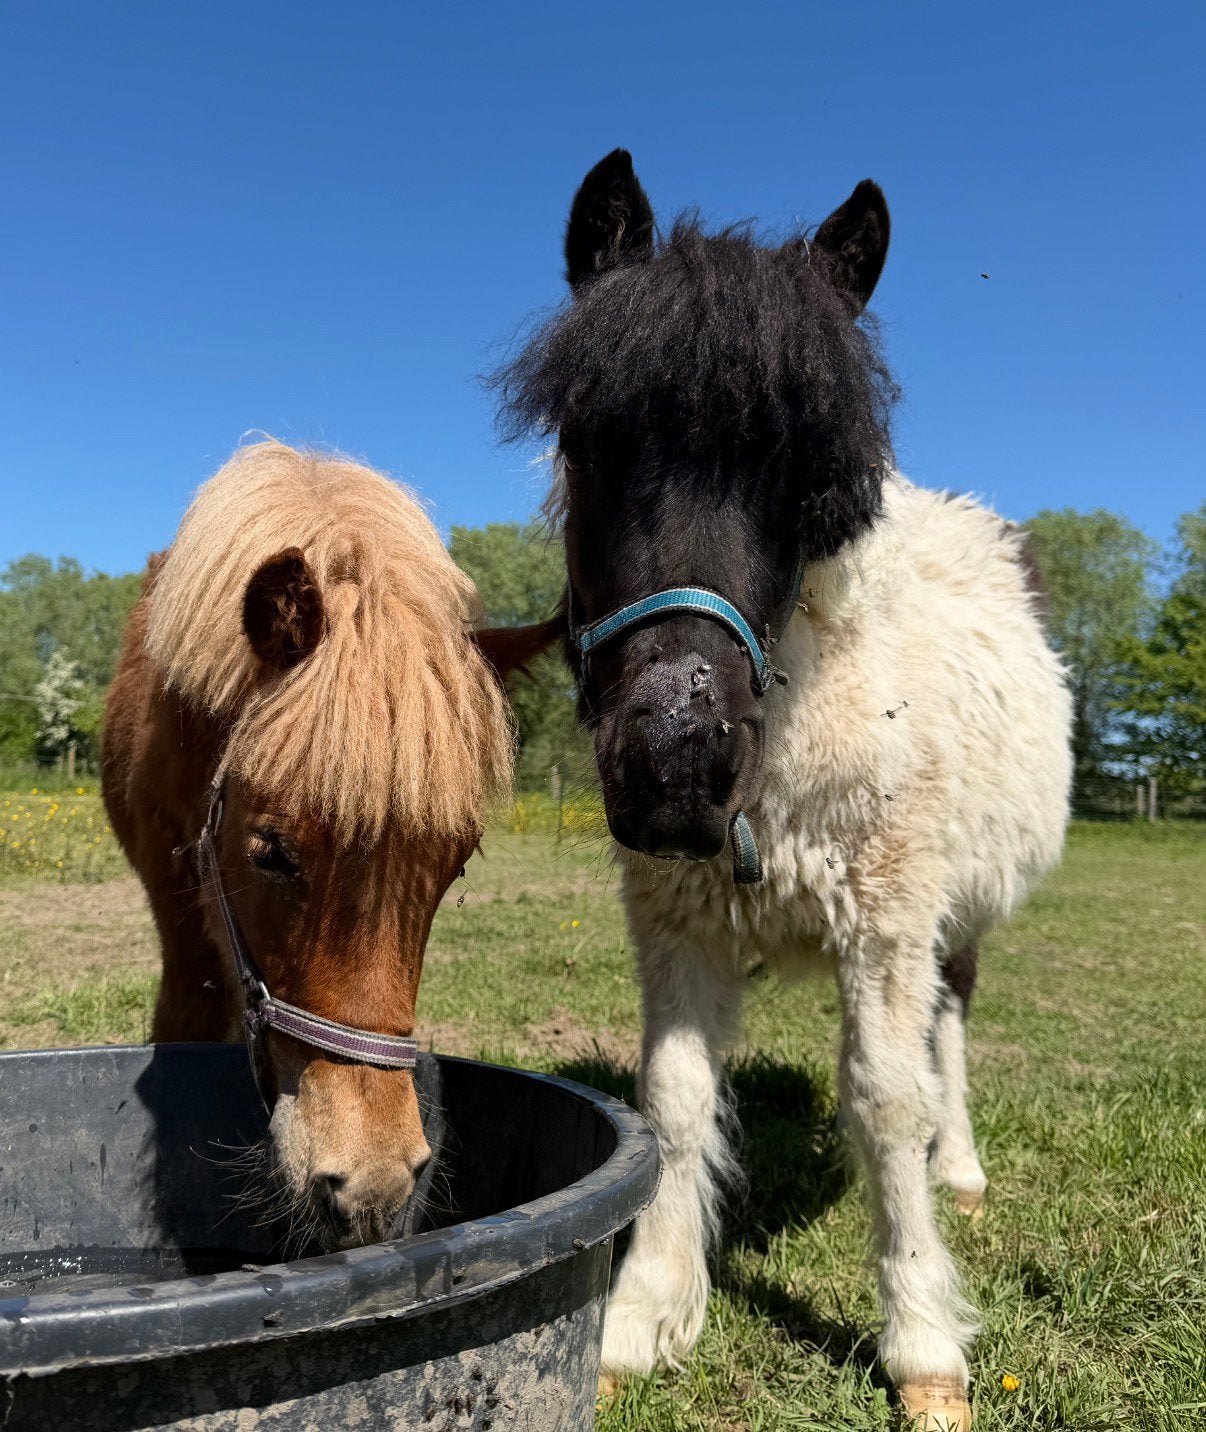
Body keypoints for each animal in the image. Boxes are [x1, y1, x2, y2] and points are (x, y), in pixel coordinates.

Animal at [495, 151, 1072, 1429]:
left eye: (808, 477)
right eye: (589, 439)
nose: (677, 761)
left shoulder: (888, 918)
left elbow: (889, 1101)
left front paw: (923, 1346)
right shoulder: (679, 921)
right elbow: (672, 1102)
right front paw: (642, 1316)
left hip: (954, 916)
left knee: (948, 1028)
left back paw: (961, 1170)